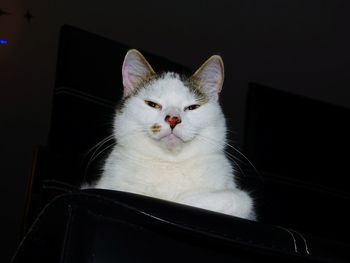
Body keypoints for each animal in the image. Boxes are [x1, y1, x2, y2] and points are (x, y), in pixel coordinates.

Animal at [91, 49, 256, 221]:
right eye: (152, 104)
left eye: (192, 107)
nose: (173, 119)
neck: (169, 164)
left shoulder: (239, 199)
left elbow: (233, 199)